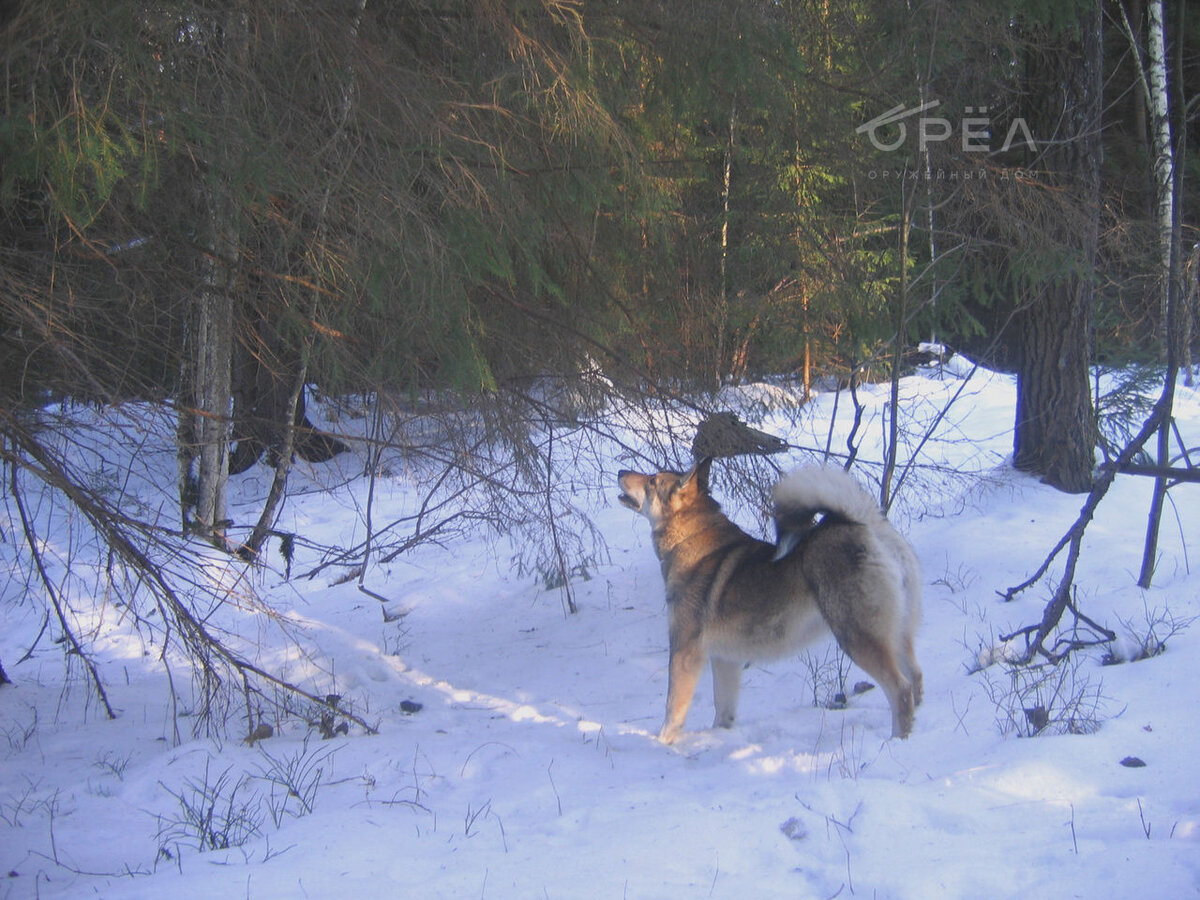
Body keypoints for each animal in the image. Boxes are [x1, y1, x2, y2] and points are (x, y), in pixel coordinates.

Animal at [614, 460, 921, 744]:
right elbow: (723, 709)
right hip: (898, 636)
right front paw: (720, 736)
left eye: (652, 480)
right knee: (915, 680)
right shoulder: (725, 658)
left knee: (900, 689)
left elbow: (673, 708)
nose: (620, 470)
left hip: (857, 636)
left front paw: (663, 743)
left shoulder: (684, 650)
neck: (688, 538)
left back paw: (897, 740)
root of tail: (863, 524)